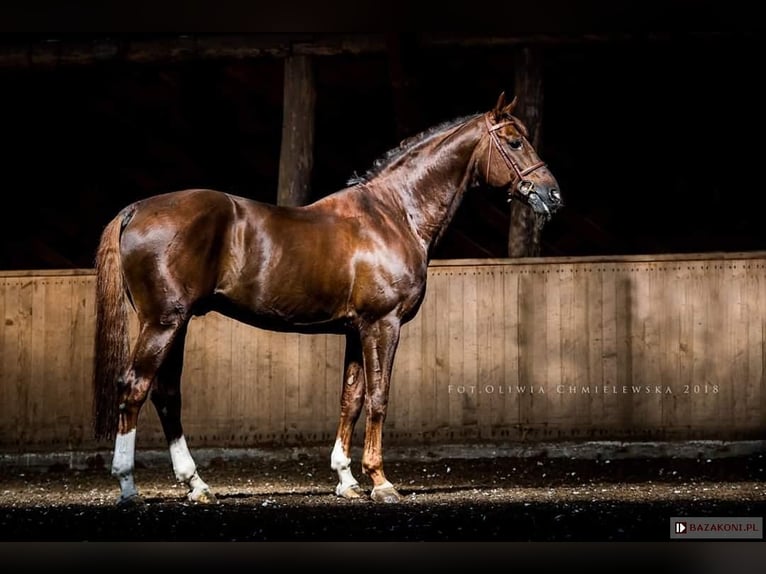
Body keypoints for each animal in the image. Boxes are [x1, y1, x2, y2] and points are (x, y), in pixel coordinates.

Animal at [94, 92, 564, 506]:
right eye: (514, 141)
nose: (552, 195)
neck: (395, 214)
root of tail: (135, 209)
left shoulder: (356, 330)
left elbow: (350, 399)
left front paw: (347, 480)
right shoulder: (383, 324)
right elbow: (378, 397)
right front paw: (381, 482)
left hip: (177, 322)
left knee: (166, 394)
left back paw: (197, 485)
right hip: (164, 323)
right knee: (135, 387)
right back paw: (127, 485)